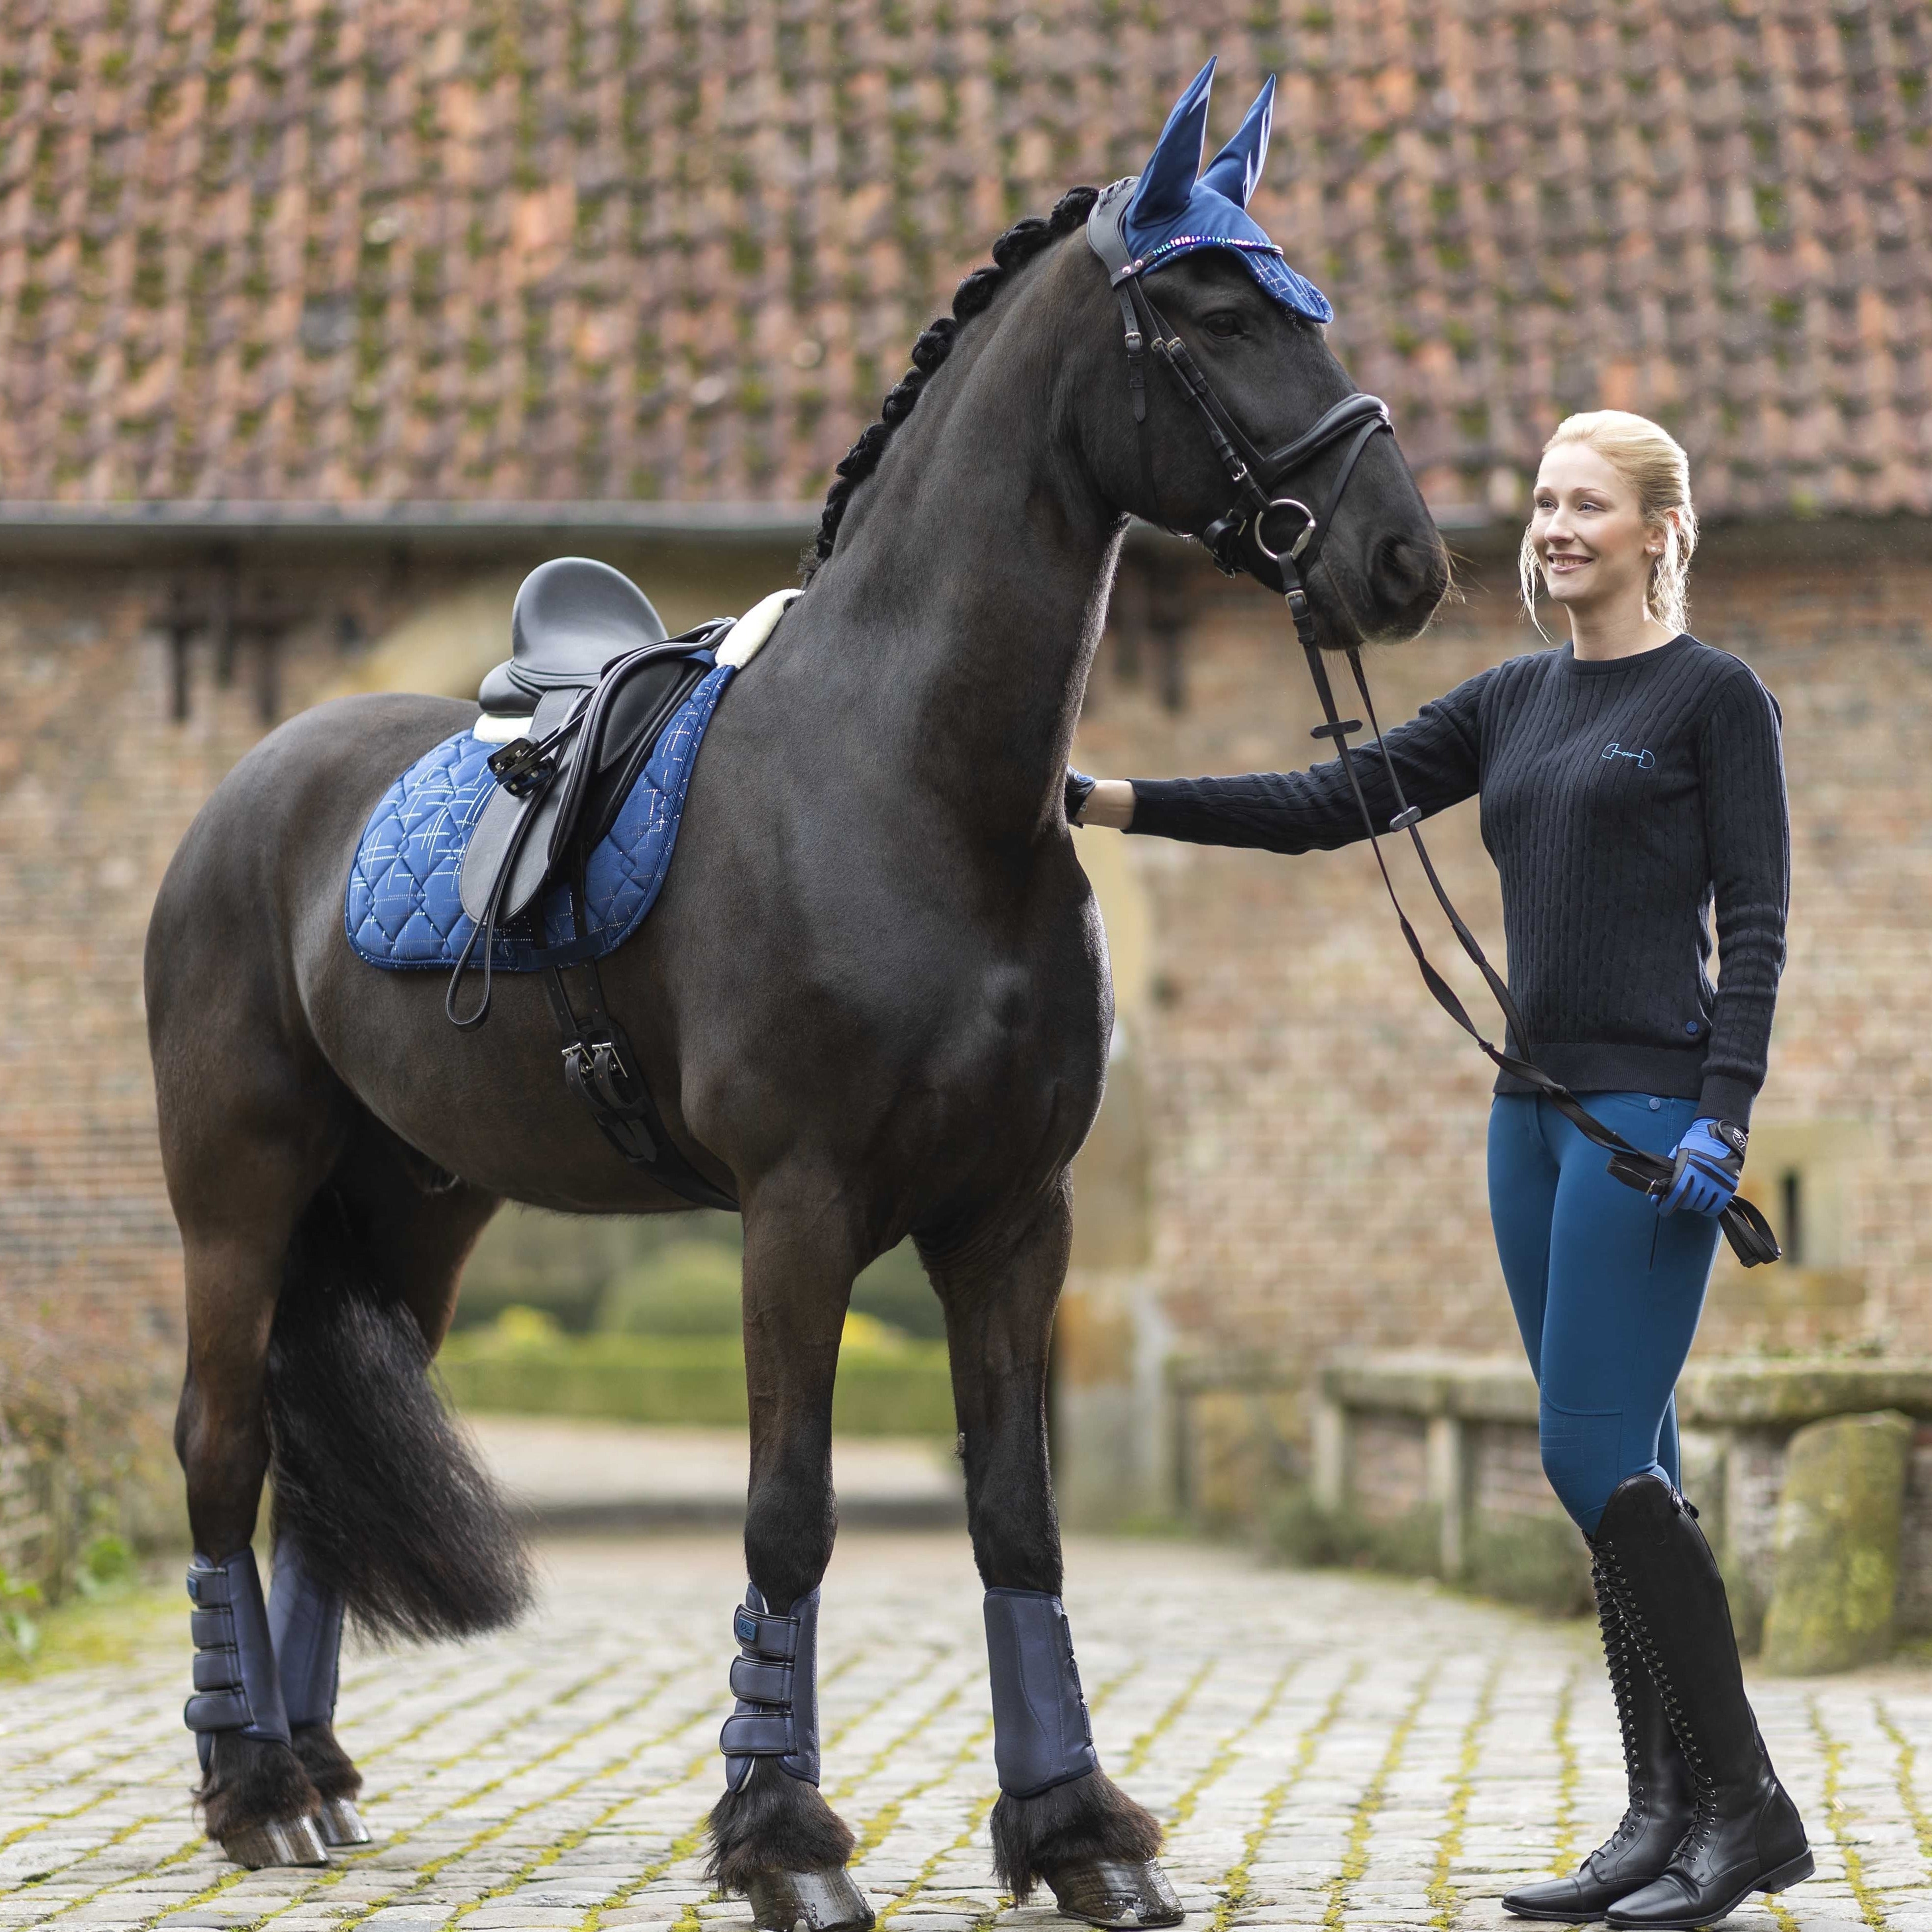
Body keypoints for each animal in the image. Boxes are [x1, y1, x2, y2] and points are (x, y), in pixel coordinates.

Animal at [147, 67, 1448, 1929]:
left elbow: (1015, 1514)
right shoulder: (799, 1208)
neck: (912, 783)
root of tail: (248, 793)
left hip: (415, 1207)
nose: (1401, 560)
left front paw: (1076, 1828)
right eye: (1210, 316)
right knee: (220, 1442)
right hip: (236, 1193)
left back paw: (316, 1774)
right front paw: (781, 1836)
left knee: (322, 1479)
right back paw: (249, 1788)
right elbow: (787, 1512)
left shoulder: (1013, 1216)